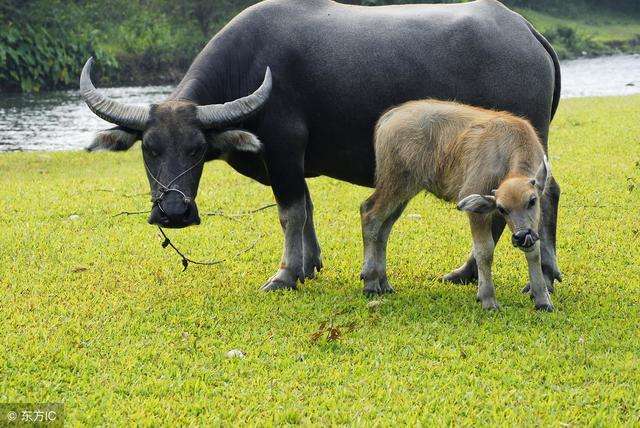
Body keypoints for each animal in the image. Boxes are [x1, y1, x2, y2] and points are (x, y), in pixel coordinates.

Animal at [360, 100, 556, 310]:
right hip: (395, 184)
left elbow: (534, 252)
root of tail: (391, 116)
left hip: (404, 192)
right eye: (502, 209)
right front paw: (488, 299)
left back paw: (383, 282)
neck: (506, 150)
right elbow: (484, 251)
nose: (521, 236)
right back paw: (370, 281)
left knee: (384, 229)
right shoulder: (477, 210)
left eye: (532, 201)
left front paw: (542, 299)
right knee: (370, 214)